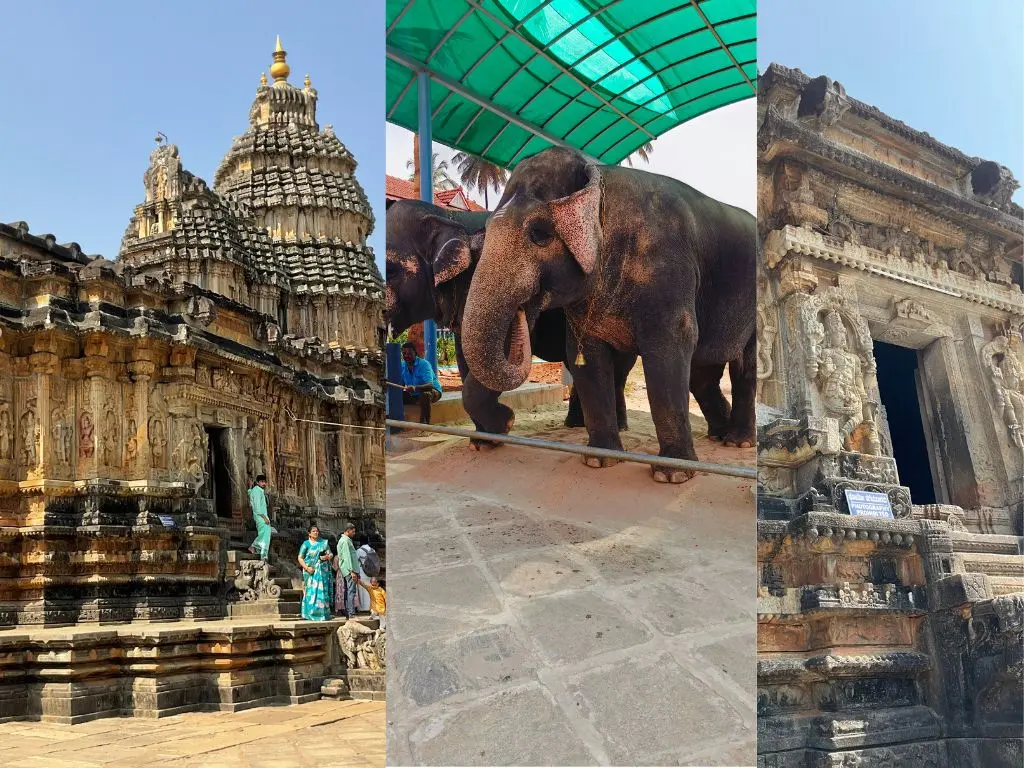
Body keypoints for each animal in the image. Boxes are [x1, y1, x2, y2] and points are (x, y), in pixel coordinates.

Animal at [460, 148, 757, 483]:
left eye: (539, 234)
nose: (508, 420)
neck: (599, 176)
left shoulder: (667, 273)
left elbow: (669, 350)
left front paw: (672, 475)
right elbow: (585, 357)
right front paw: (600, 460)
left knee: (744, 368)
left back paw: (738, 442)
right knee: (702, 376)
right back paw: (719, 435)